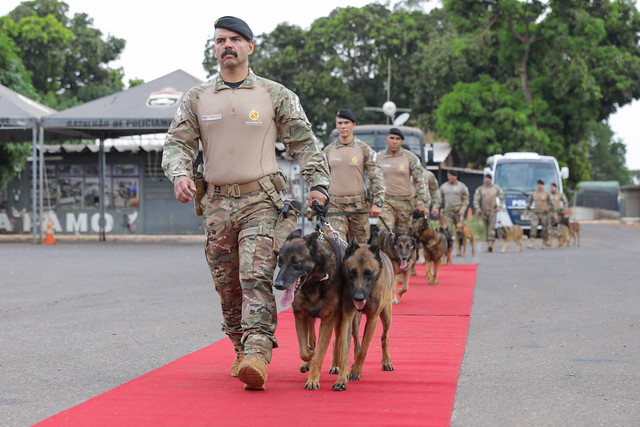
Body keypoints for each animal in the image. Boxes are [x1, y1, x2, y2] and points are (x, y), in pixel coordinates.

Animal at [274, 231, 348, 392]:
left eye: (295, 262)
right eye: (279, 262)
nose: (277, 285)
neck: (313, 282)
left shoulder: (328, 319)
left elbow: (320, 354)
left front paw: (313, 380)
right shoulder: (300, 315)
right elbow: (304, 350)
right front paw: (308, 356)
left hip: (339, 319)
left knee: (337, 341)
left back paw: (335, 365)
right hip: (310, 318)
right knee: (312, 338)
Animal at [330, 236, 396, 392]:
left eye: (368, 273)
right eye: (352, 272)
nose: (358, 298)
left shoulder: (373, 319)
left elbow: (364, 349)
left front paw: (355, 371)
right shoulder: (347, 316)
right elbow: (345, 349)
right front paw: (342, 378)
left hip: (386, 316)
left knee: (384, 336)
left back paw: (386, 361)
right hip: (352, 320)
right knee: (344, 340)